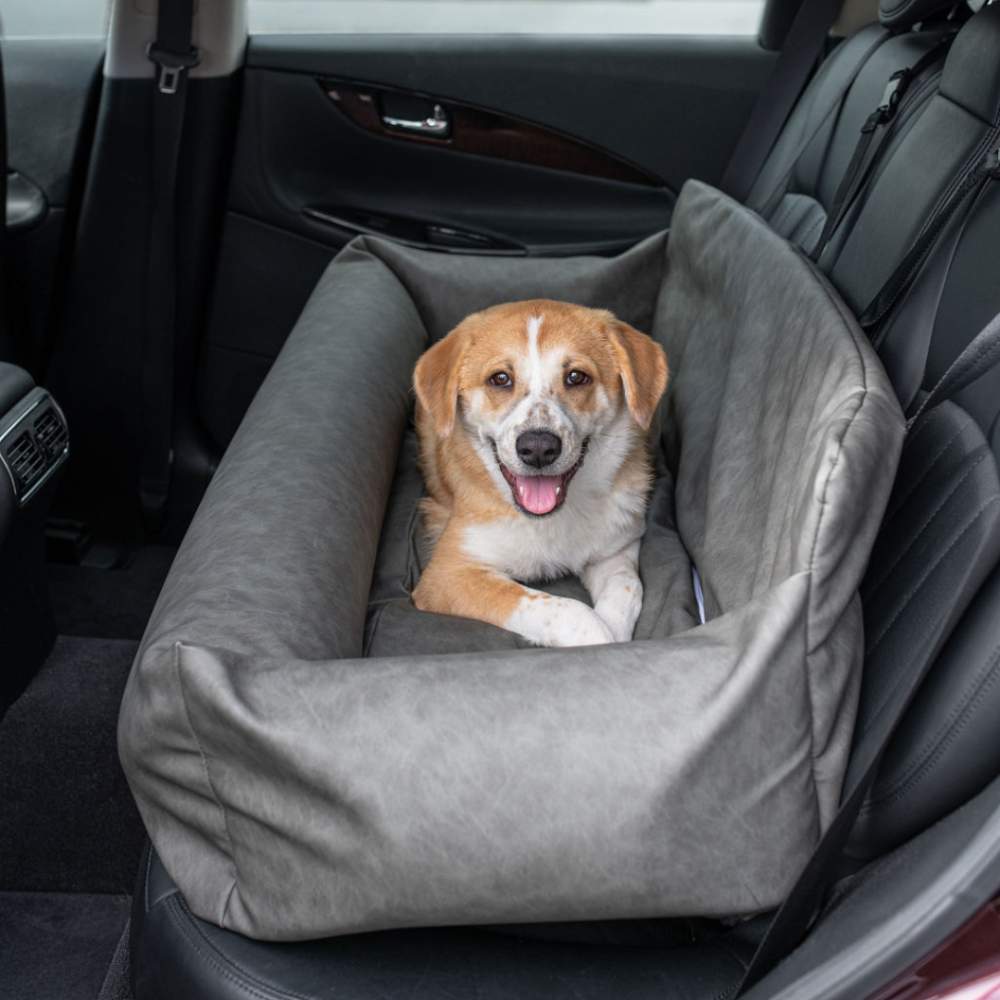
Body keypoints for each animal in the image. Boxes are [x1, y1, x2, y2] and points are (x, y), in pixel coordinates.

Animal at [410, 296, 668, 648]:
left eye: (576, 377)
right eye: (499, 379)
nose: (538, 448)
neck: (549, 521)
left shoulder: (616, 552)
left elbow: (627, 590)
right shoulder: (449, 574)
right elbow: (567, 610)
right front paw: (597, 639)